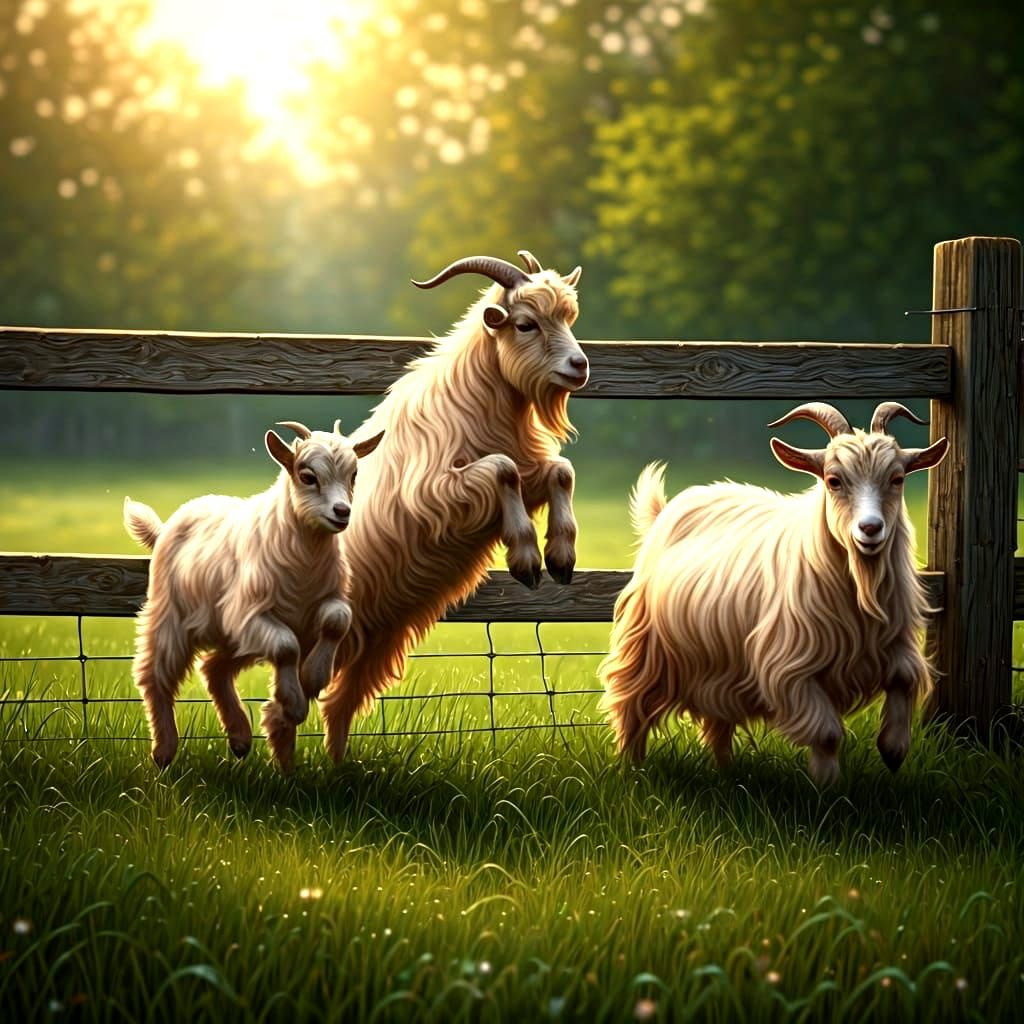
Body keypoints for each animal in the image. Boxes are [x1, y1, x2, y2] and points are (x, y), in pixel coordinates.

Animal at [123, 421, 383, 769]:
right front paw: (294, 704)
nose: (341, 511)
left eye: (354, 474)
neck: (305, 561)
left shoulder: (323, 603)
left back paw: (240, 739)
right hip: (171, 617)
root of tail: (166, 528)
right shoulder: (250, 614)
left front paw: (313, 676)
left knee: (214, 669)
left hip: (235, 637)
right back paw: (164, 750)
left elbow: (337, 620)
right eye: (307, 476)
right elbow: (287, 647)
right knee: (154, 675)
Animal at [261, 251, 588, 767]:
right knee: (283, 708)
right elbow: (504, 471)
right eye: (525, 323)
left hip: (377, 637)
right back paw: (287, 772)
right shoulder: (435, 493)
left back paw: (338, 768)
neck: (479, 397)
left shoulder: (528, 465)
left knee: (339, 703)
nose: (579, 365)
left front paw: (561, 556)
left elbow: (560, 471)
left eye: (569, 317)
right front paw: (525, 558)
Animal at [598, 402, 948, 784]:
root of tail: (665, 512)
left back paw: (727, 773)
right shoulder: (790, 668)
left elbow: (904, 678)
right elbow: (827, 733)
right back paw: (631, 769)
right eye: (834, 480)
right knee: (630, 706)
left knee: (717, 722)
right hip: (647, 648)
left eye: (897, 479)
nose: (870, 528)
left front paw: (894, 749)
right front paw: (827, 785)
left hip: (722, 665)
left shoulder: (894, 645)